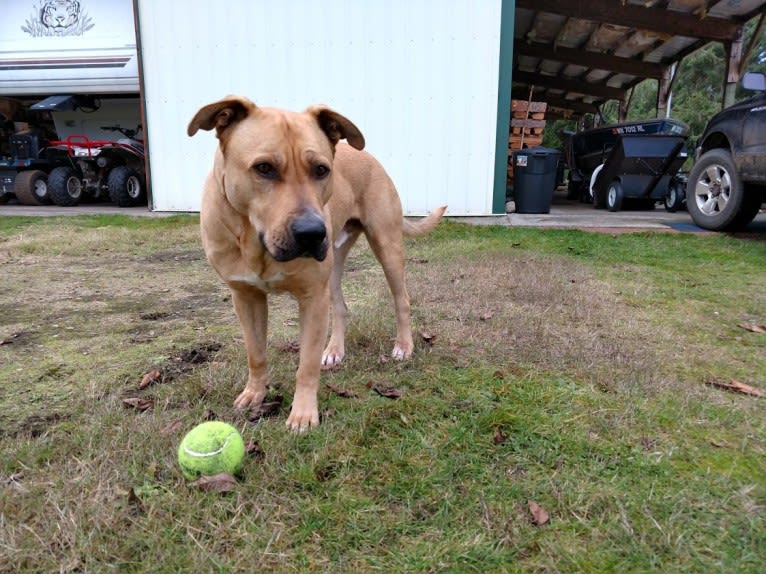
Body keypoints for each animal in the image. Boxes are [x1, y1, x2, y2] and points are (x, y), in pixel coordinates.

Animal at [188, 98, 448, 432]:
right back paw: (335, 351)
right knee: (340, 306)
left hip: (386, 245)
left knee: (401, 299)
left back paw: (403, 346)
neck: (257, 244)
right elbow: (255, 352)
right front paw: (255, 393)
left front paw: (302, 414)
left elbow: (306, 364)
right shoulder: (245, 296)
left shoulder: (312, 297)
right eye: (264, 168)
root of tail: (368, 156)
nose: (312, 232)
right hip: (334, 265)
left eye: (321, 170)